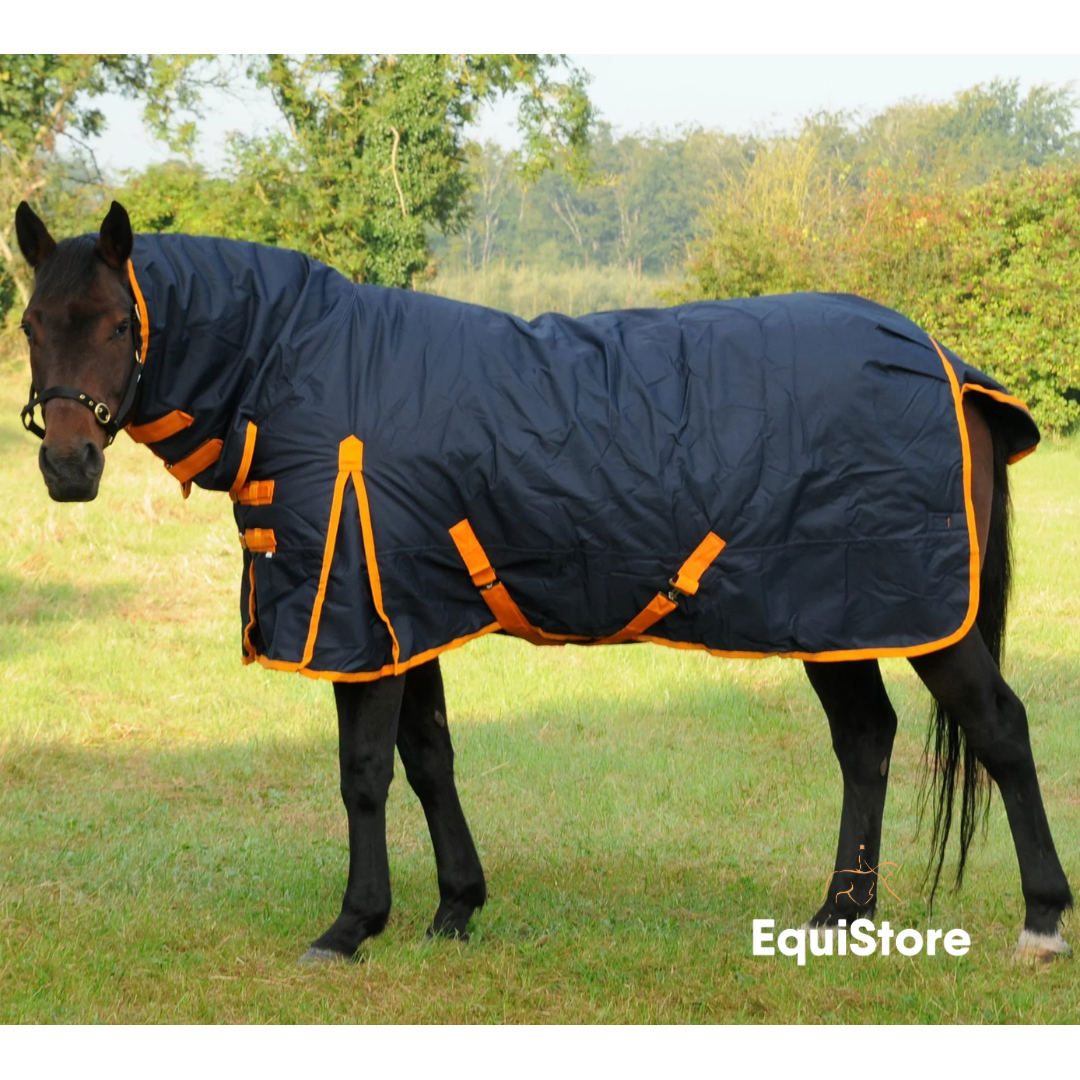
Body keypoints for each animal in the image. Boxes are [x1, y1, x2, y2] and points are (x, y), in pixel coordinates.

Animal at [14, 200, 1073, 964]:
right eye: (30, 322)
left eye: (119, 322)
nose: (67, 468)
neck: (301, 366)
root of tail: (950, 368)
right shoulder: (409, 611)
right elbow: (429, 760)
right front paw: (455, 909)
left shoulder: (359, 617)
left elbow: (363, 774)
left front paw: (352, 926)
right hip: (832, 609)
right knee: (866, 741)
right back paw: (840, 913)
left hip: (919, 612)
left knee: (999, 730)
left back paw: (1041, 921)